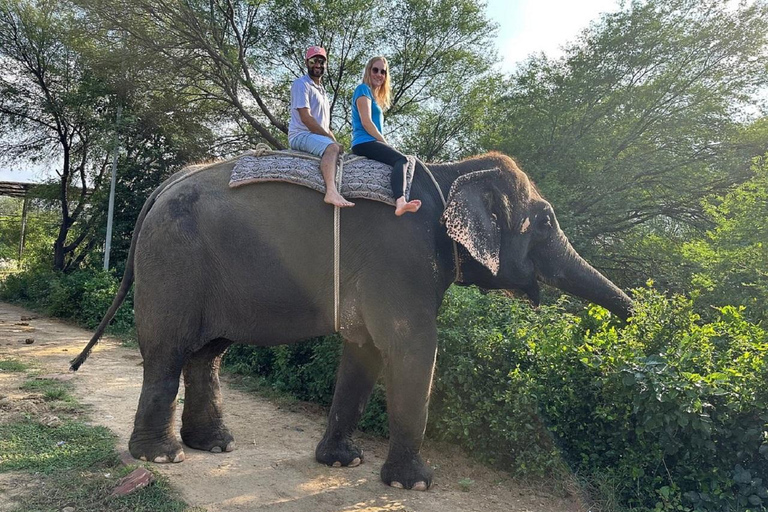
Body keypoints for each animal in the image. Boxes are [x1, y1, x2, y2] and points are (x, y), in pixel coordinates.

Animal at [71, 150, 632, 491]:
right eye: (546, 221)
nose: (634, 319)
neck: (450, 172)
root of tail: (165, 186)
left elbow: (365, 352)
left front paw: (344, 463)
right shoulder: (400, 261)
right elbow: (412, 348)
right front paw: (414, 484)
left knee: (208, 354)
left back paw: (214, 445)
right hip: (174, 260)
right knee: (167, 352)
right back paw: (163, 459)